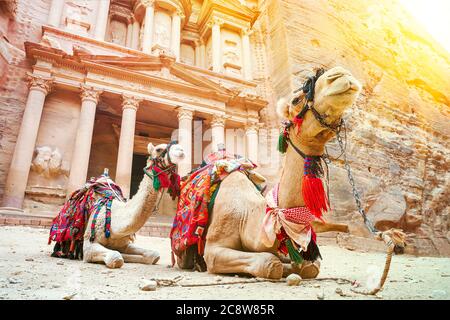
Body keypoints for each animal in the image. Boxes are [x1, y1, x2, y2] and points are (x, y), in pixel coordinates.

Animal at [201, 66, 366, 278]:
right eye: (295, 100)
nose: (341, 74)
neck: (248, 218)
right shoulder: (213, 250)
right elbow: (270, 263)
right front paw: (282, 266)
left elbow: (310, 266)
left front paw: (296, 266)